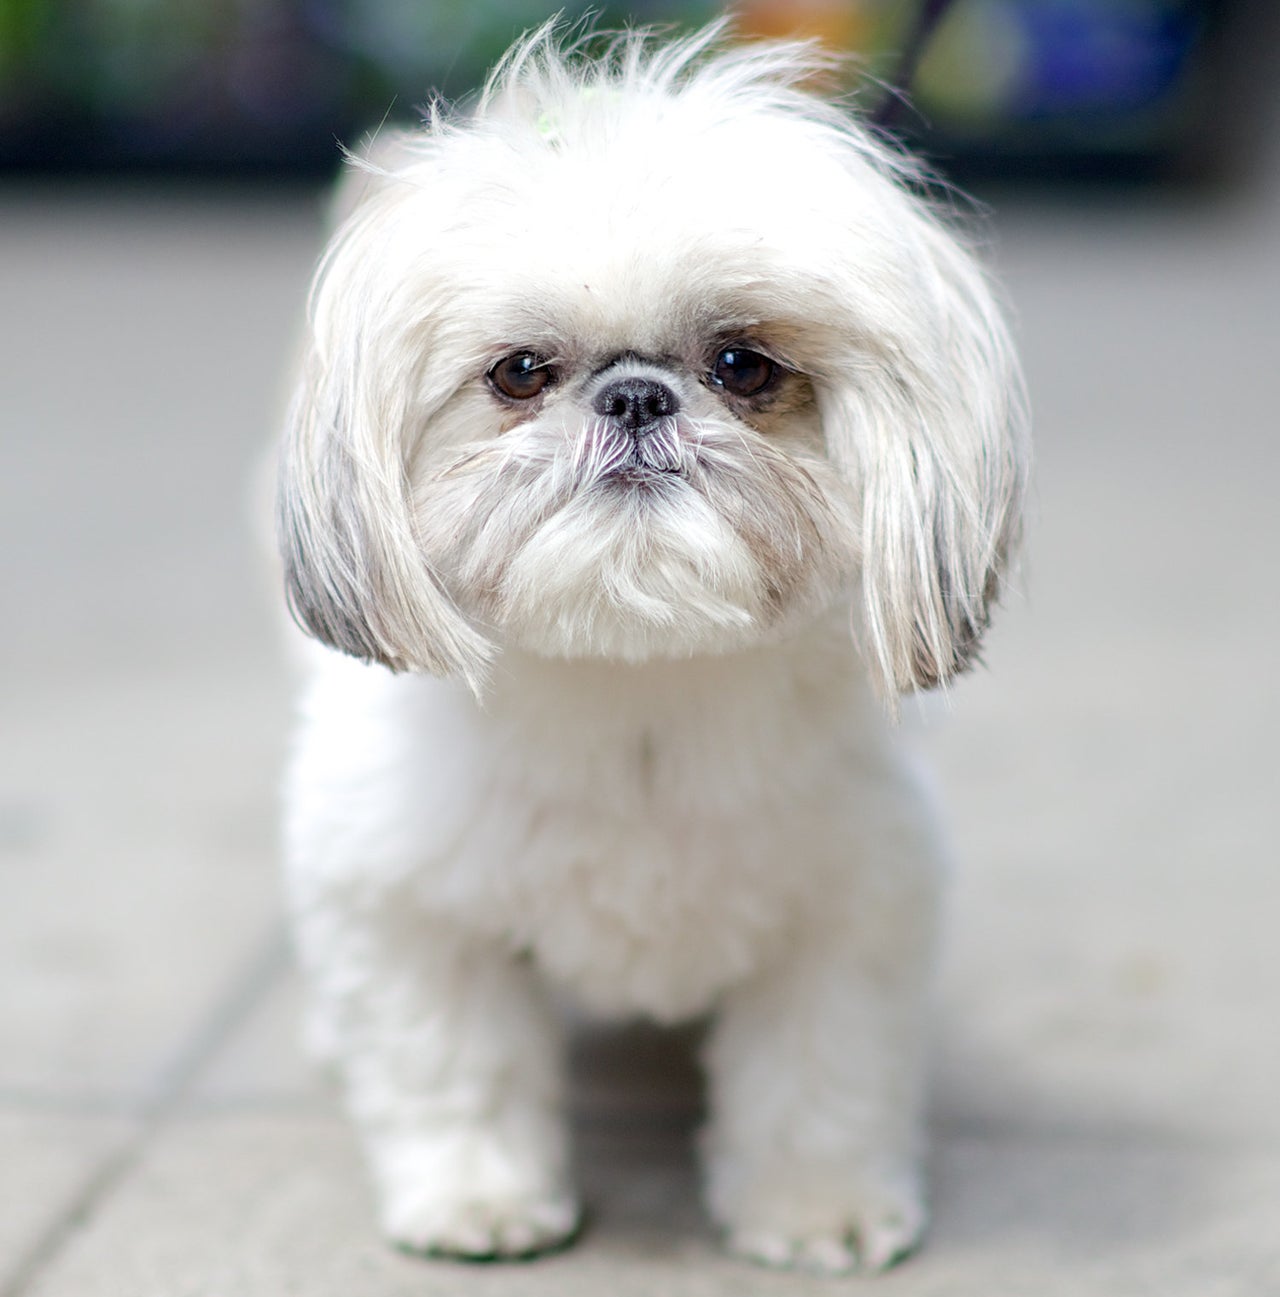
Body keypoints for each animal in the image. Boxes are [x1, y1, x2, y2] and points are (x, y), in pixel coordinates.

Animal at [277, 22, 1032, 1276]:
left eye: (743, 366)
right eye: (520, 371)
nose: (635, 396)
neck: (638, 687)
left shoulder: (852, 910)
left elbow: (820, 1078)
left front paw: (816, 1205)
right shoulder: (409, 908)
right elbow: (454, 1066)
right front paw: (477, 1196)